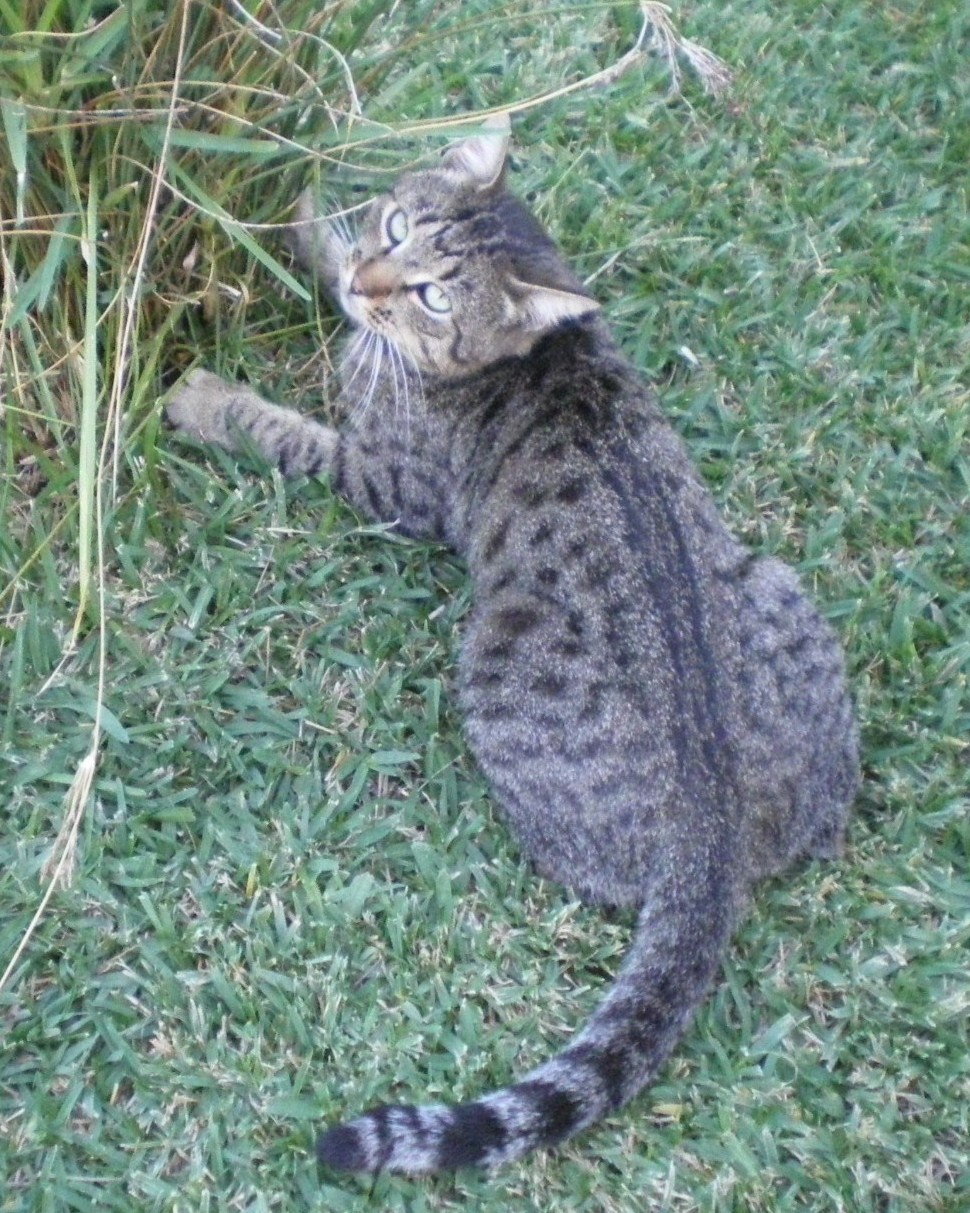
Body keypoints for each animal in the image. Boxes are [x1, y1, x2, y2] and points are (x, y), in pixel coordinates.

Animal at [166, 113, 859, 1175]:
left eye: (433, 295)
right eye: (399, 228)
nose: (374, 282)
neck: (532, 354)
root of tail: (717, 833)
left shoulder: (386, 484)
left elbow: (285, 431)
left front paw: (207, 398)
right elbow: (327, 254)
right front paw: (307, 220)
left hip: (493, 666)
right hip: (781, 588)